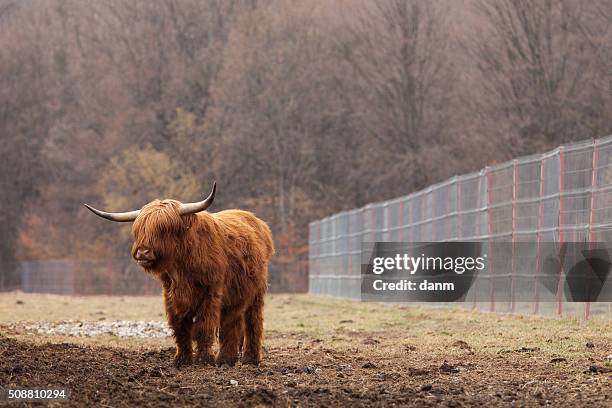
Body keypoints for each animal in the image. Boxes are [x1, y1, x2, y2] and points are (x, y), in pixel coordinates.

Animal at [82, 182, 274, 366]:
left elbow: (204, 327)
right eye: (139, 230)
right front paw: (182, 360)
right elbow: (180, 327)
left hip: (256, 294)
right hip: (236, 297)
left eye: (163, 229)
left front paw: (204, 360)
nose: (143, 252)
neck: (181, 269)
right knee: (233, 323)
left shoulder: (210, 293)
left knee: (252, 323)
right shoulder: (171, 295)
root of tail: (259, 223)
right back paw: (228, 359)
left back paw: (247, 359)